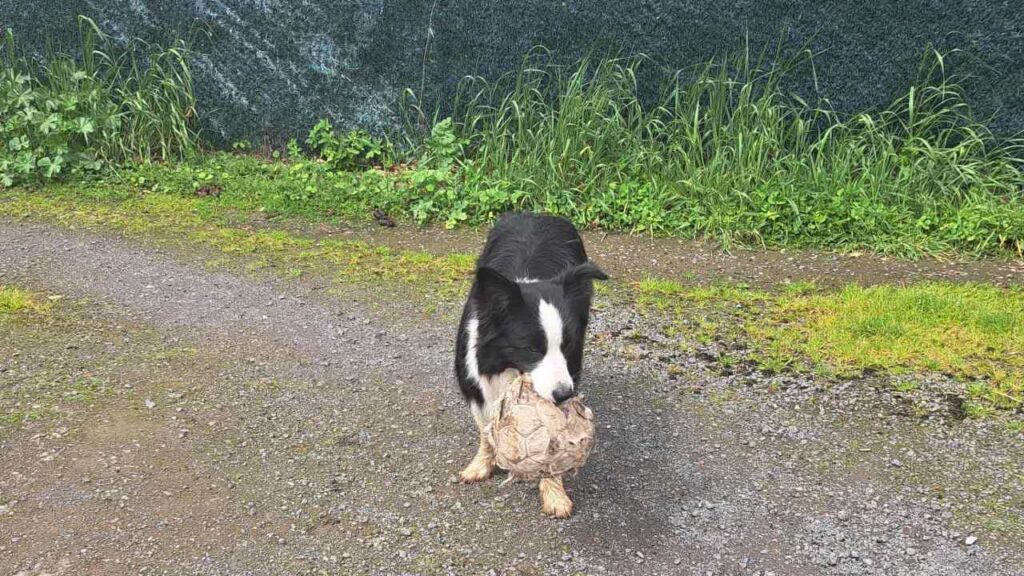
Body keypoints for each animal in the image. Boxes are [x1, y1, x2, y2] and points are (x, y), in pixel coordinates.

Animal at [452, 211, 602, 516]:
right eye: (531, 348)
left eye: (567, 344)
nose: (564, 394)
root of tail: (537, 213)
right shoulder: (476, 382)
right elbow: (485, 429)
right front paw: (480, 465)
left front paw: (554, 492)